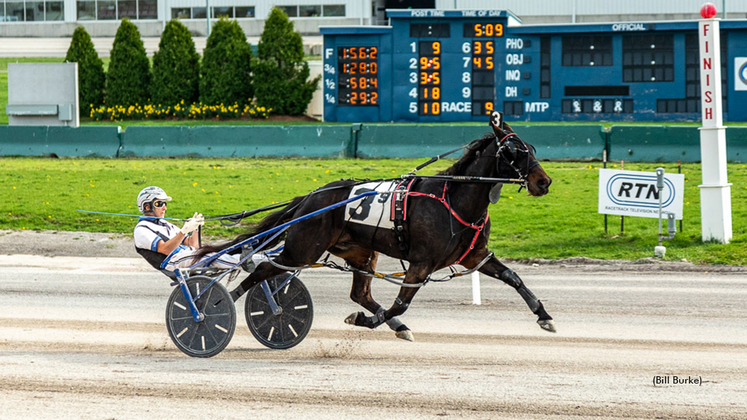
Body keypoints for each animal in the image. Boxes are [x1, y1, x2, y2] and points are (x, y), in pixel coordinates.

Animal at [199, 111, 556, 342]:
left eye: (531, 148)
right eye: (513, 150)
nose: (544, 181)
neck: (455, 200)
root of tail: (311, 197)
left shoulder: (475, 255)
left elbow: (513, 277)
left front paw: (544, 316)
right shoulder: (422, 263)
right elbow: (402, 302)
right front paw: (368, 321)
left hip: (359, 252)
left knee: (359, 293)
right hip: (302, 249)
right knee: (260, 270)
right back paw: (214, 304)